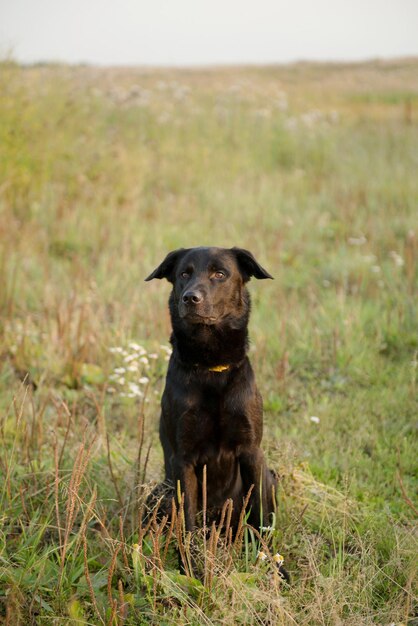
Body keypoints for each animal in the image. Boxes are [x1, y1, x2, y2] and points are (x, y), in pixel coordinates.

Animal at [147, 246, 280, 540]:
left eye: (220, 274)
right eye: (184, 274)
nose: (190, 298)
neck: (211, 369)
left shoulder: (252, 452)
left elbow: (261, 517)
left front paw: (265, 553)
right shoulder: (182, 459)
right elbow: (186, 522)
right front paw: (188, 555)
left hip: (271, 476)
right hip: (159, 493)